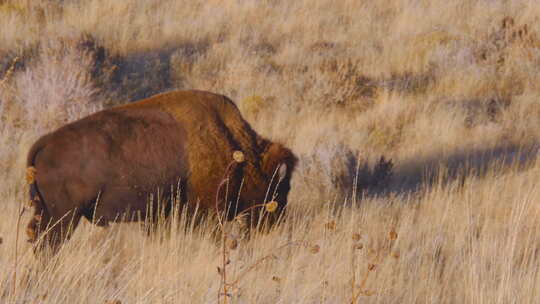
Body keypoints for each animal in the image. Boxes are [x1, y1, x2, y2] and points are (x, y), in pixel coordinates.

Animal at [25, 90, 298, 252]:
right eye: (278, 188)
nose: (276, 221)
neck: (237, 151)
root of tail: (45, 143)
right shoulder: (206, 213)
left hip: (48, 214)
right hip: (63, 218)